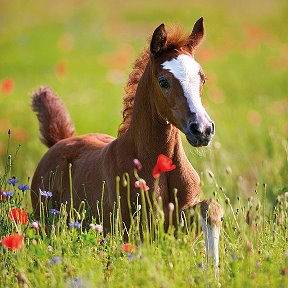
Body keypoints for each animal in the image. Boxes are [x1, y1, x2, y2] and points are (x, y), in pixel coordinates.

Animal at [32, 17, 225, 270]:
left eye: (202, 78)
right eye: (163, 81)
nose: (202, 129)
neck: (157, 165)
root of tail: (60, 142)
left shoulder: (177, 223)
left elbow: (210, 207)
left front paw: (213, 271)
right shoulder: (135, 228)